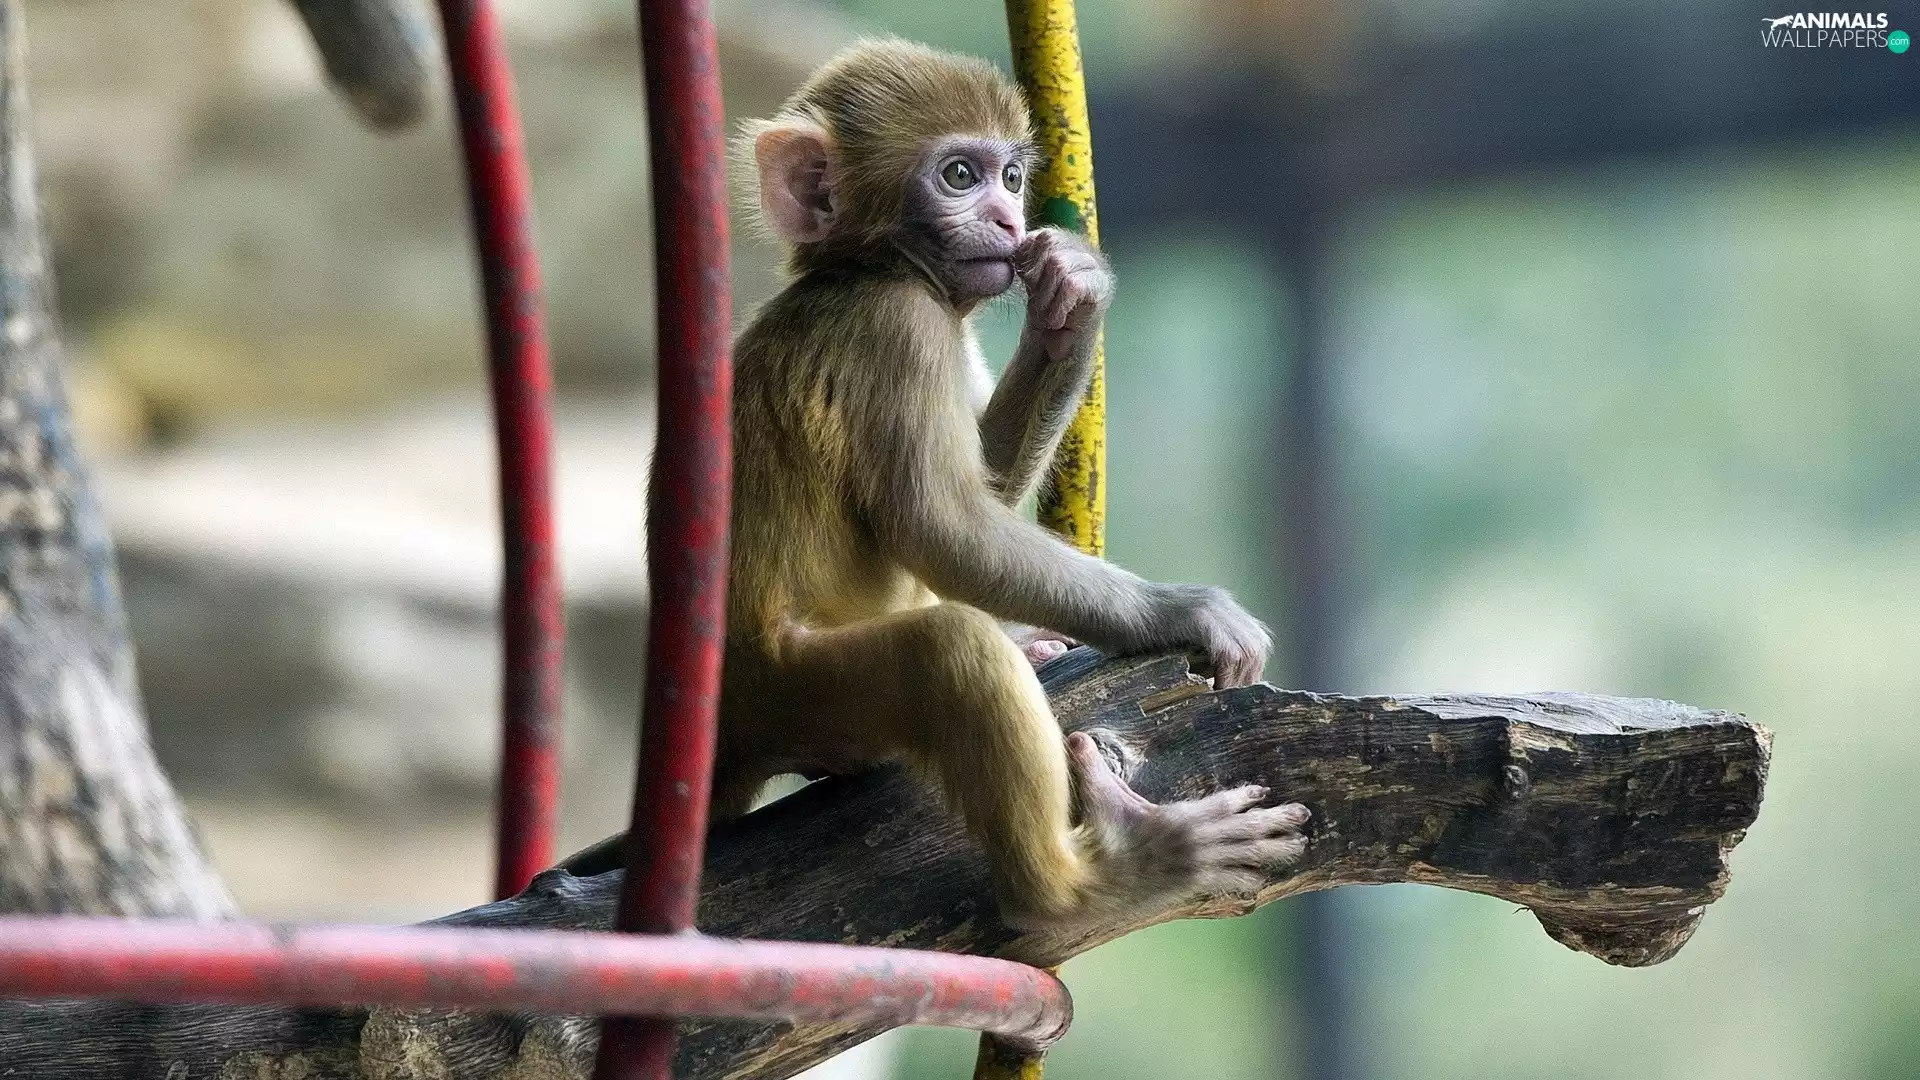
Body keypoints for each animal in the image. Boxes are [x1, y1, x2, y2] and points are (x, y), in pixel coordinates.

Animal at [570, 39, 1309, 930]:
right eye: (960, 176)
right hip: (794, 691)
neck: (868, 270)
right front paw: (1184, 611)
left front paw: (1073, 302)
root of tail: (724, 734)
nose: (1010, 222)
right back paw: (1083, 884)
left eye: (1013, 178)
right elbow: (944, 529)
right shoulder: (900, 333)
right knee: (947, 646)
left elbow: (979, 482)